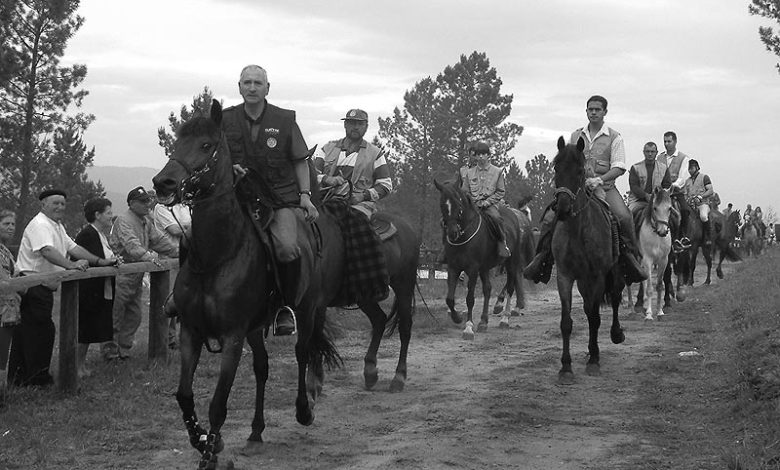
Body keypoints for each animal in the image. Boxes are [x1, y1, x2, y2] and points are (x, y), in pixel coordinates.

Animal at [434, 177, 526, 339]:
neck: (464, 236)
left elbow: (470, 298)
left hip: (511, 262)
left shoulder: (472, 269)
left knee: (510, 286)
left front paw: (468, 328)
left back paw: (504, 318)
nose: (452, 232)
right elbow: (449, 298)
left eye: (458, 204)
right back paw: (483, 322)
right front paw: (457, 317)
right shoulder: (453, 267)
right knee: (487, 289)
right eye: (442, 204)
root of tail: (515, 216)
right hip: (485, 268)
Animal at [549, 136, 625, 384]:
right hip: (583, 282)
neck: (578, 232)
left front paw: (594, 361)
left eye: (581, 171)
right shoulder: (565, 276)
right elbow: (566, 322)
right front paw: (566, 368)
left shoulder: (598, 276)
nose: (562, 208)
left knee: (616, 300)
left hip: (613, 275)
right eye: (556, 168)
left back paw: (616, 334)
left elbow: (594, 318)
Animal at [635, 187, 672, 321]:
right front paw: (649, 315)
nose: (662, 231)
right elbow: (650, 288)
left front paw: (660, 312)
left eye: (669, 208)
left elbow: (660, 286)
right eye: (655, 208)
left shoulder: (664, 260)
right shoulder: (648, 260)